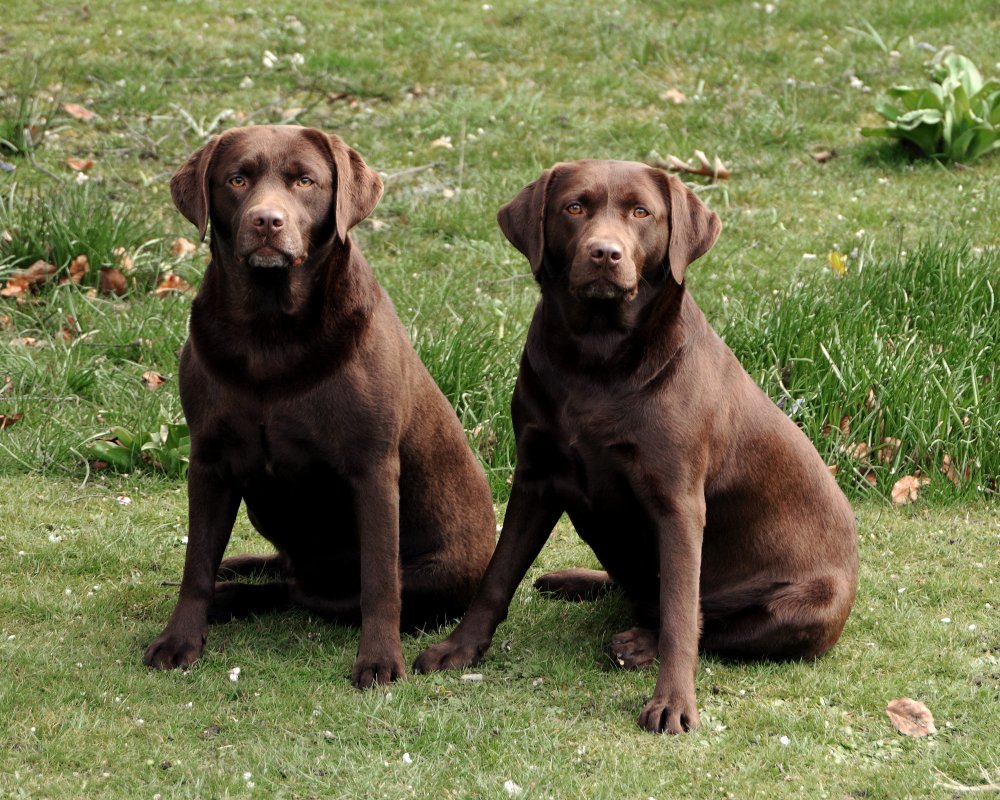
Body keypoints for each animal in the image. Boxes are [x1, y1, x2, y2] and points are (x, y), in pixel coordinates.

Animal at [145, 126, 496, 688]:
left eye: (305, 181)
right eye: (237, 179)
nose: (267, 220)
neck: (270, 334)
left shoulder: (372, 467)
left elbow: (379, 582)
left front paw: (379, 660)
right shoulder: (209, 461)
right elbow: (195, 564)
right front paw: (180, 639)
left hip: (430, 576)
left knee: (313, 591)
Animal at [414, 159, 860, 736]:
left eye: (641, 213)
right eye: (574, 207)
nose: (606, 253)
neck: (596, 360)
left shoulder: (678, 502)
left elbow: (680, 615)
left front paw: (672, 702)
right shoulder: (535, 477)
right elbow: (497, 574)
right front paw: (459, 648)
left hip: (806, 607)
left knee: (700, 622)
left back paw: (641, 642)